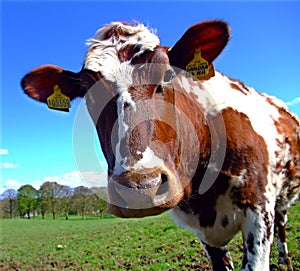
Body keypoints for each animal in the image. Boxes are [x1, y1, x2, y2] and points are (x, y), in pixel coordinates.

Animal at [21, 21, 300, 271]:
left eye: (168, 74)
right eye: (88, 92)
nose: (140, 188)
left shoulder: (259, 212)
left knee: (282, 224)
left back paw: (285, 260)